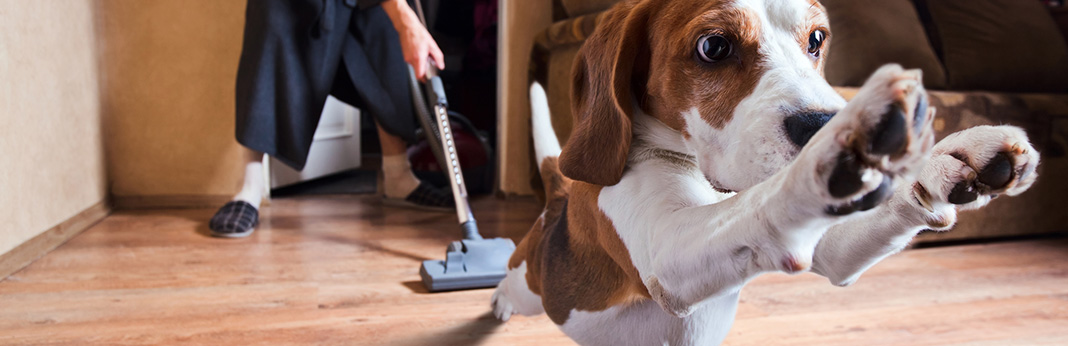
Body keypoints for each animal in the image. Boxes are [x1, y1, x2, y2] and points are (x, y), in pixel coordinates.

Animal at [493, 0, 1042, 343]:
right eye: (713, 47)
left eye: (817, 39)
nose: (825, 121)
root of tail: (557, 201)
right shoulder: (666, 249)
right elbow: (763, 200)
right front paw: (837, 150)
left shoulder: (828, 248)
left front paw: (947, 159)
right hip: (530, 285)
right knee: (510, 281)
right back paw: (497, 301)